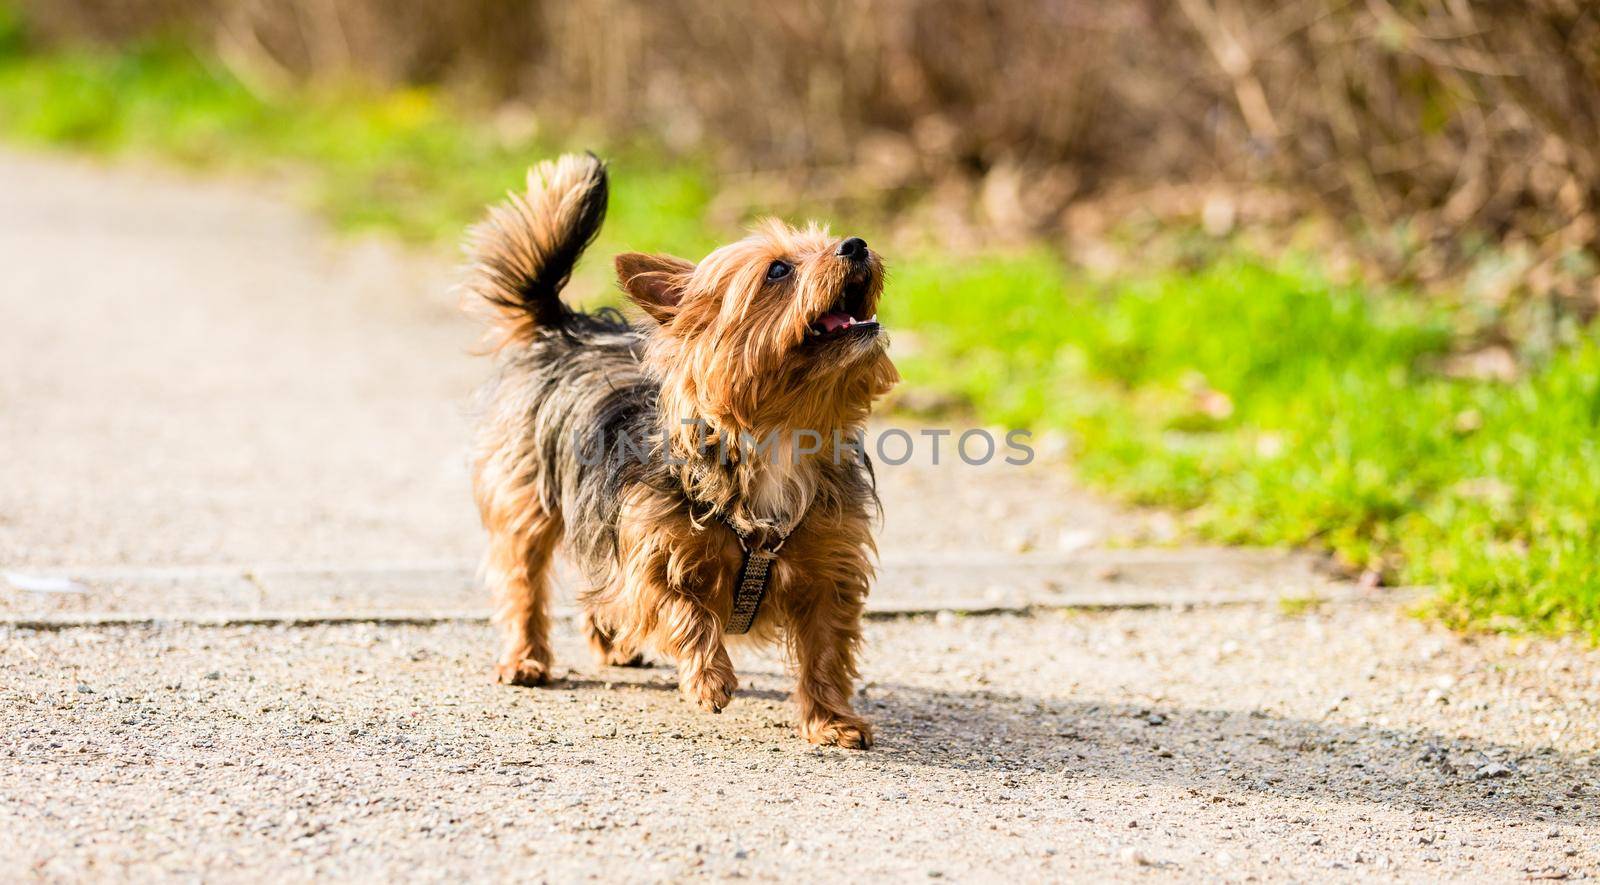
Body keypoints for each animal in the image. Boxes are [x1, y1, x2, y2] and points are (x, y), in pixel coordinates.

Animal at [464, 153, 902, 745]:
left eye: (830, 240)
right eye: (778, 271)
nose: (855, 243)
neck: (777, 435)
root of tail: (566, 325)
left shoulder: (830, 571)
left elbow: (826, 651)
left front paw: (831, 719)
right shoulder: (649, 551)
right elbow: (679, 607)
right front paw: (709, 678)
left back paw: (608, 643)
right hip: (528, 498)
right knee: (522, 578)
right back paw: (525, 657)